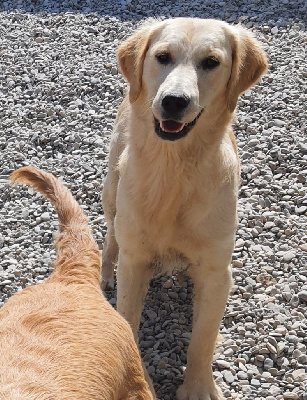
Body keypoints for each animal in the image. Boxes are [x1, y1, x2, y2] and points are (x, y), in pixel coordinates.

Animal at [102, 17, 268, 398]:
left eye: (211, 62)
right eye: (163, 56)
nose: (174, 101)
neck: (174, 172)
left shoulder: (217, 271)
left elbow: (203, 338)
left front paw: (198, 387)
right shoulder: (134, 261)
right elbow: (128, 321)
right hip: (111, 191)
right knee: (110, 236)